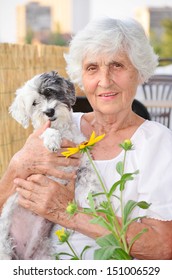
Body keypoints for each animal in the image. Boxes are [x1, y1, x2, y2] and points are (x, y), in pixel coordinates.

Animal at [0, 71, 102, 260]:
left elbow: (90, 177)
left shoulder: (83, 161)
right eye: (34, 103)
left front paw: (94, 196)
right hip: (4, 250)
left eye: (50, 92)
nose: (49, 111)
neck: (62, 130)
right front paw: (52, 139)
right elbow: (47, 131)